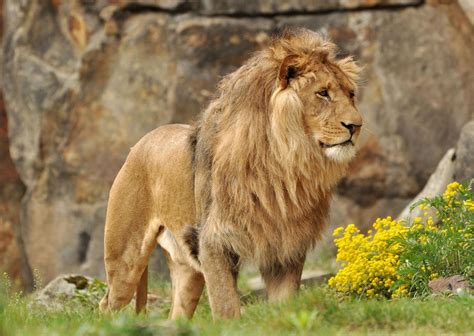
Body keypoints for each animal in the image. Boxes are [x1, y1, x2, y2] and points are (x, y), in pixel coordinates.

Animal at [98, 28, 362, 320]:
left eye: (351, 94)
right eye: (323, 93)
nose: (356, 125)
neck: (283, 163)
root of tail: (142, 141)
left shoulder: (286, 246)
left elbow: (284, 304)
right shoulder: (212, 240)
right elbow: (226, 307)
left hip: (188, 268)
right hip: (125, 259)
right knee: (108, 303)